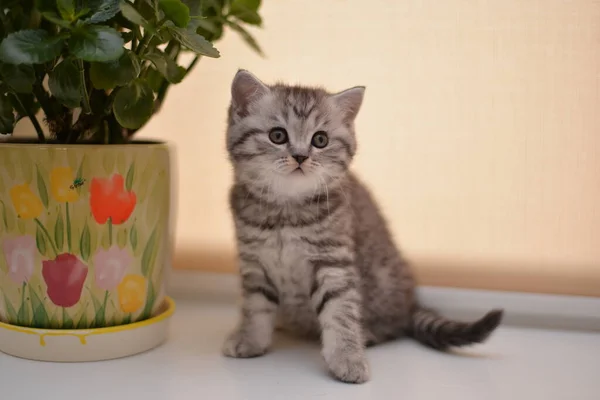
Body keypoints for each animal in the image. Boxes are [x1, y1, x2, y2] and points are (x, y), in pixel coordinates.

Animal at [223, 69, 504, 384]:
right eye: (278, 135)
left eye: (320, 140)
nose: (300, 156)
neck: (286, 210)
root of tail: (410, 304)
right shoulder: (255, 262)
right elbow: (256, 306)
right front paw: (250, 339)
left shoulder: (334, 262)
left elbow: (340, 311)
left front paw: (348, 357)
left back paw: (367, 334)